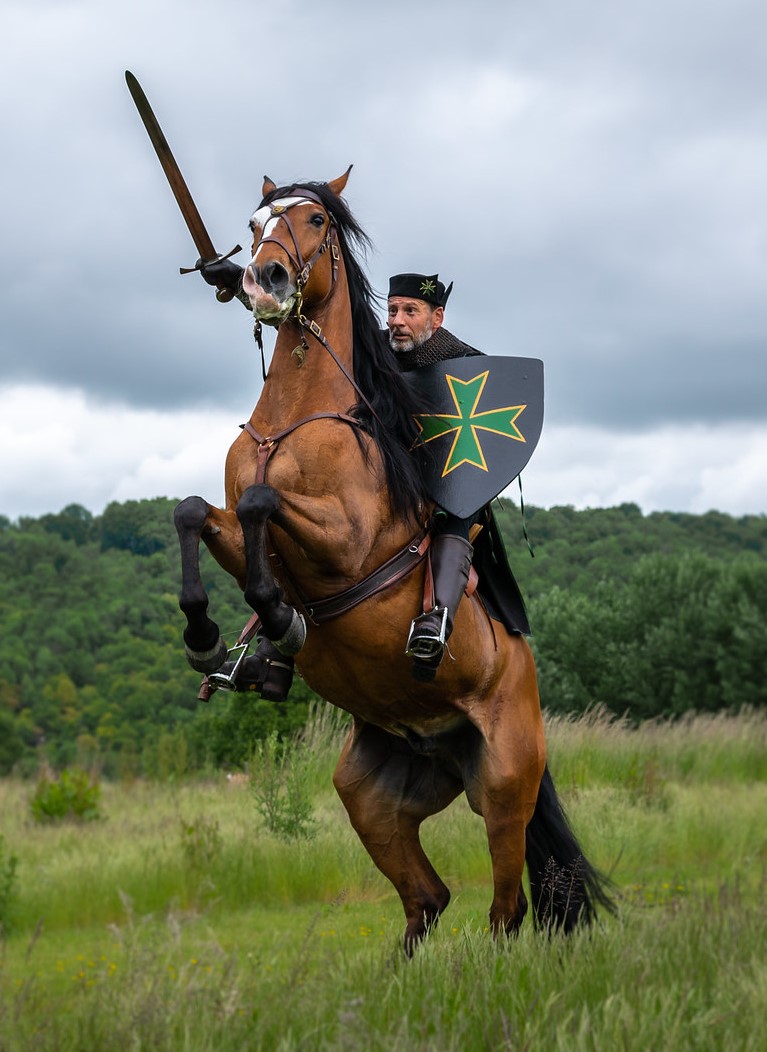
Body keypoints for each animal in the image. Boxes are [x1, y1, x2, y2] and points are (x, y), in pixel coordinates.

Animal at [173, 166, 610, 955]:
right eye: (253, 224)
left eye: (316, 220)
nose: (262, 279)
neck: (297, 415)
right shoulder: (230, 525)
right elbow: (196, 512)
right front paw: (214, 640)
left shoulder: (344, 540)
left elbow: (260, 504)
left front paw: (277, 620)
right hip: (374, 792)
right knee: (427, 899)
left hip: (505, 783)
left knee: (506, 909)